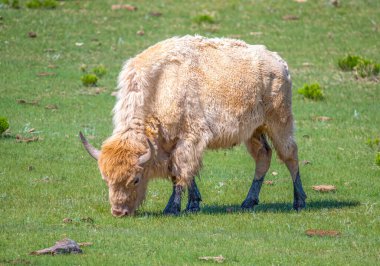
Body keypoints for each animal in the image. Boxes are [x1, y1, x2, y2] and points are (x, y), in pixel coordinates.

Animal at [79, 35, 306, 217]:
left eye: (135, 179)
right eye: (106, 179)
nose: (119, 212)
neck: (160, 85)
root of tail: (279, 63)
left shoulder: (188, 139)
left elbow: (180, 171)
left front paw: (172, 208)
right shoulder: (171, 142)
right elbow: (183, 173)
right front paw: (193, 204)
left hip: (279, 122)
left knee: (290, 155)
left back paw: (299, 202)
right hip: (253, 131)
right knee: (263, 156)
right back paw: (248, 202)